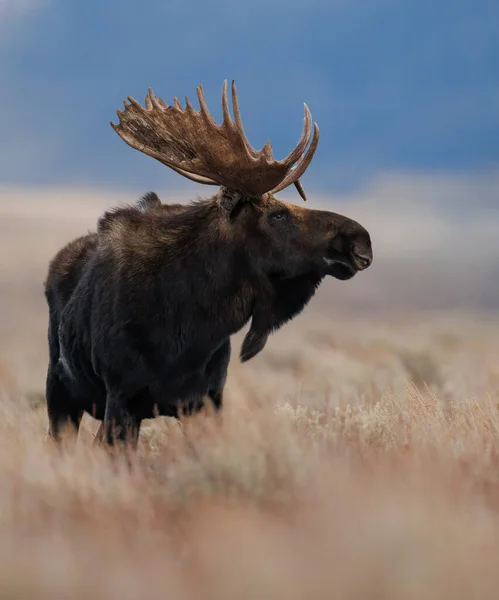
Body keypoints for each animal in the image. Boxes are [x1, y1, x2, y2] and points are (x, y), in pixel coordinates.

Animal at [43, 79, 374, 448]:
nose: (360, 239)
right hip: (60, 393)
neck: (191, 328)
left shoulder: (207, 399)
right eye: (277, 214)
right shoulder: (121, 397)